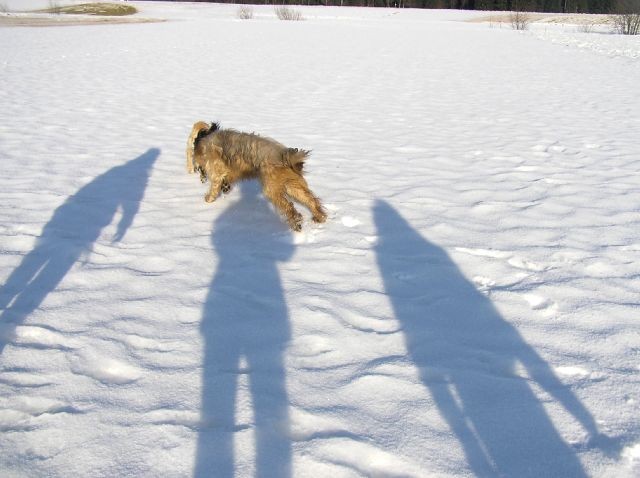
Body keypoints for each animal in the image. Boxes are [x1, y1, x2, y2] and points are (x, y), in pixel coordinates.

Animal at [184, 122, 324, 232]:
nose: (201, 176)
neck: (205, 139)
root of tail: (285, 156)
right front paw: (225, 187)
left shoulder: (216, 170)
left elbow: (215, 186)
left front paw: (209, 199)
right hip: (293, 184)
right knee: (311, 200)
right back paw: (319, 217)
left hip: (272, 188)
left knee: (289, 207)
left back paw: (296, 223)